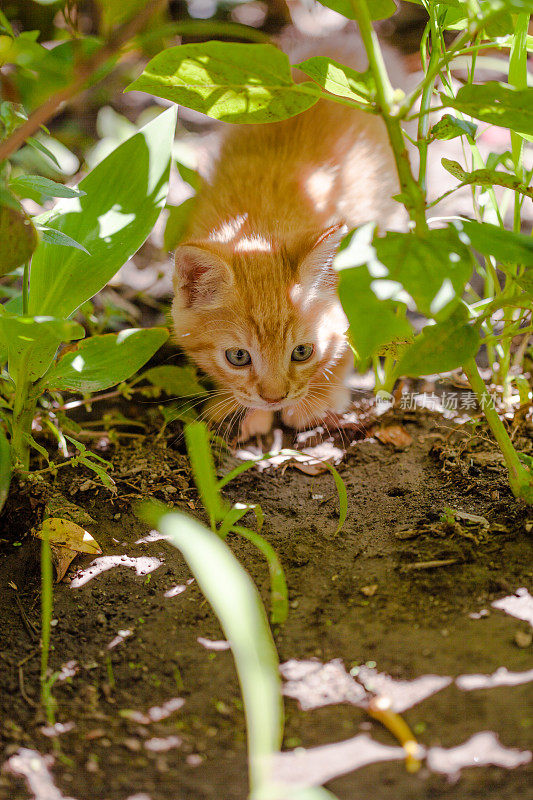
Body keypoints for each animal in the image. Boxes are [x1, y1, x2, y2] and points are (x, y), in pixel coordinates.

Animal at [172, 37, 402, 440]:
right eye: (238, 357)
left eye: (302, 352)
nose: (274, 398)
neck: (261, 223)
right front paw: (235, 405)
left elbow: (348, 341)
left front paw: (318, 399)